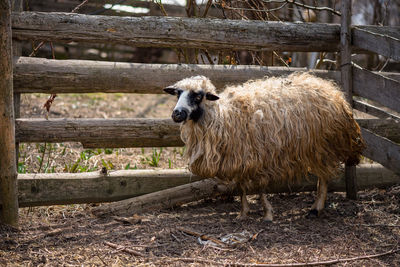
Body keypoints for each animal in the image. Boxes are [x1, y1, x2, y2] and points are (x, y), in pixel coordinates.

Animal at [162, 74, 366, 222]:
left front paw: (267, 214)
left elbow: (260, 188)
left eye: (197, 95)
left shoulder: (259, 156)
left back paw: (316, 209)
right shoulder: (241, 159)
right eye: (177, 94)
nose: (177, 114)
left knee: (323, 178)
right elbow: (241, 187)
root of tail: (330, 88)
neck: (222, 118)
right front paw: (243, 213)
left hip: (322, 146)